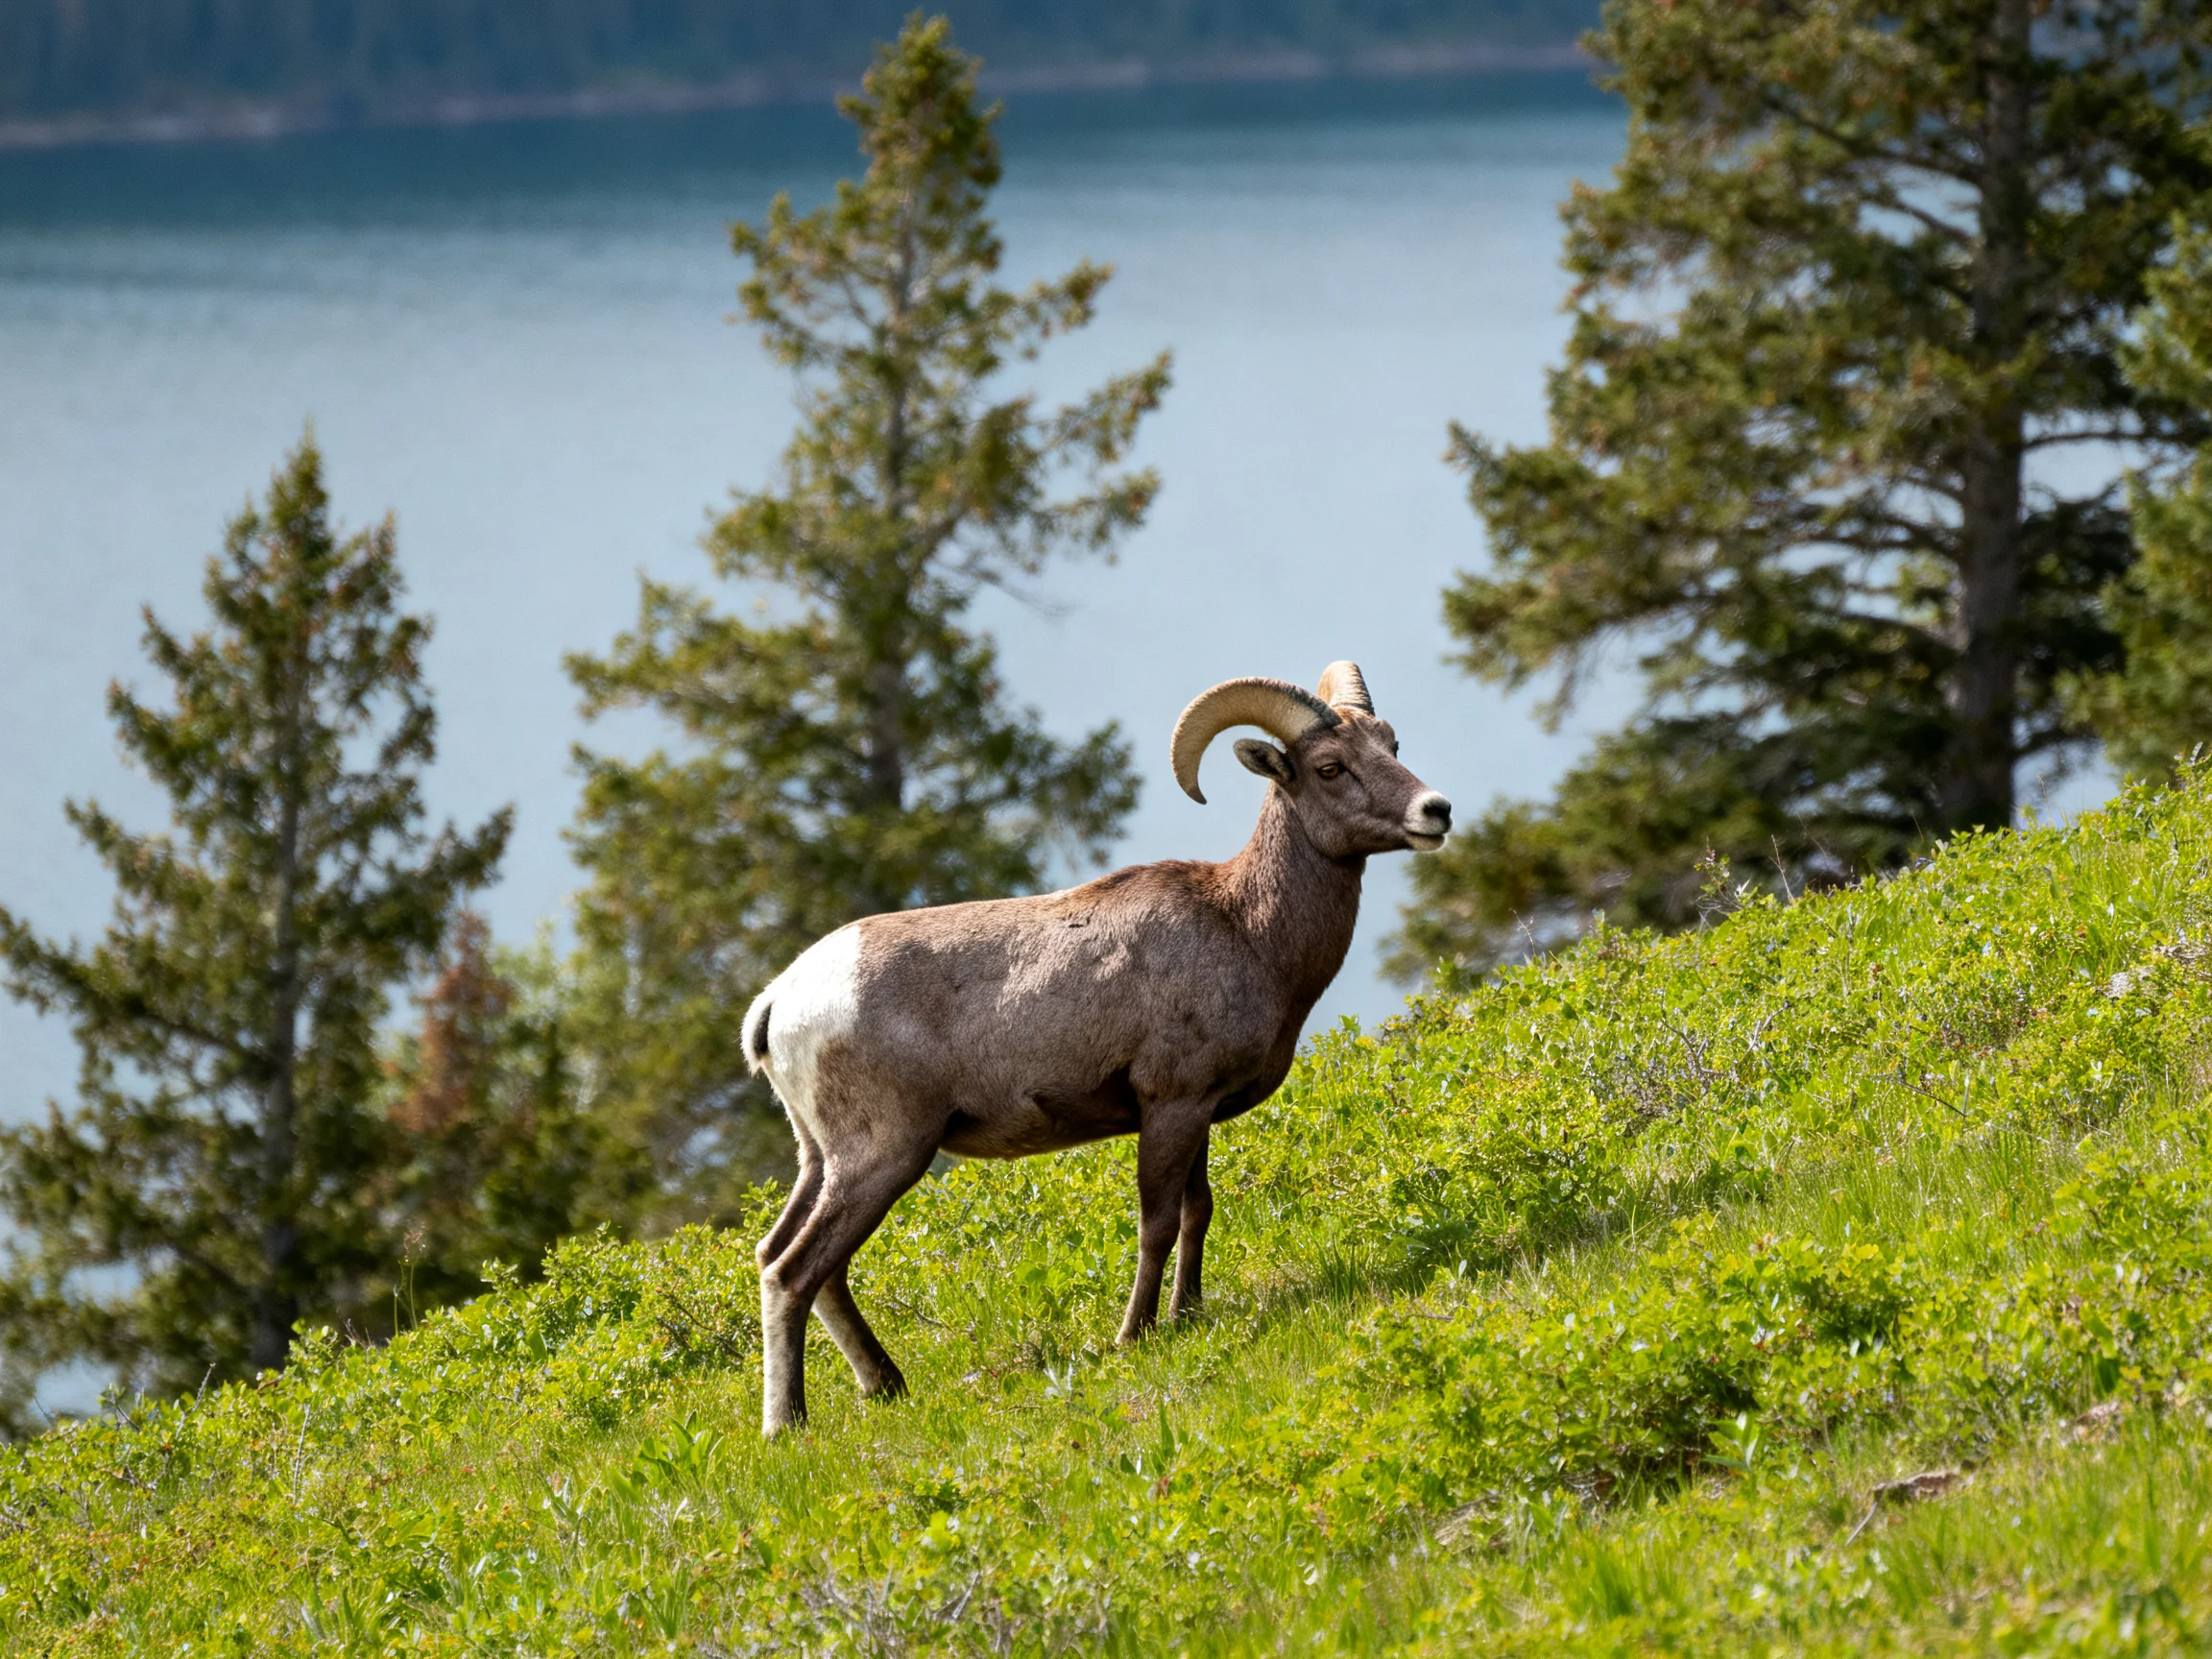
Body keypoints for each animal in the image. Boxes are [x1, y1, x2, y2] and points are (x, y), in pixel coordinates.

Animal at [740, 661, 1452, 1436]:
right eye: (1329, 767)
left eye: (1390, 743)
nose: (1436, 811)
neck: (1248, 929)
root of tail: (779, 1000)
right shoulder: (1171, 1105)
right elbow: (1158, 1223)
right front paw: (1133, 1335)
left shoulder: (1195, 1113)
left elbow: (1198, 1212)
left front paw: (1188, 1318)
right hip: (884, 1155)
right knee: (794, 1270)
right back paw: (788, 1424)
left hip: (821, 1160)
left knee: (795, 1261)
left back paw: (886, 1387)